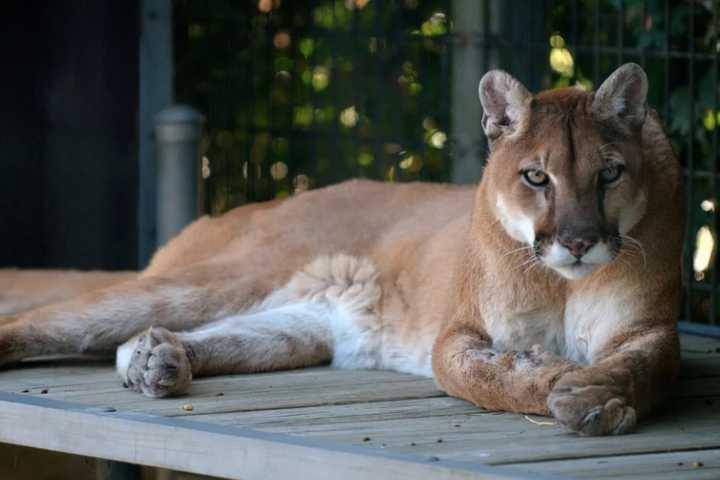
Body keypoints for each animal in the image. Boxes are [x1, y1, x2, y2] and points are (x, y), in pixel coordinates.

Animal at [0, 63, 680, 436]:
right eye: (537, 177)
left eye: (609, 174)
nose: (578, 242)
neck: (561, 280)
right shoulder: (459, 333)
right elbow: (485, 376)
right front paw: (558, 377)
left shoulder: (647, 329)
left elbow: (644, 367)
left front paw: (595, 392)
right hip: (219, 278)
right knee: (43, 321)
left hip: (301, 326)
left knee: (156, 341)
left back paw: (156, 361)